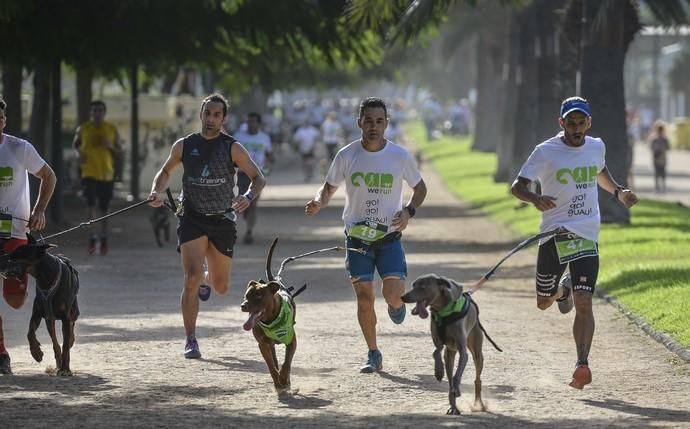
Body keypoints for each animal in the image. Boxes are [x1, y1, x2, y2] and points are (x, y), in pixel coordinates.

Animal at [0, 234, 79, 374]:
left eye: (18, 252)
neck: (46, 278)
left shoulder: (65, 316)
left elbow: (65, 344)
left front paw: (66, 369)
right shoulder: (37, 313)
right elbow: (30, 333)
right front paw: (36, 353)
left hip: (73, 311)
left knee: (71, 326)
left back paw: (69, 345)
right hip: (49, 319)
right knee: (55, 342)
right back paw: (58, 362)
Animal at [239, 237, 296, 394]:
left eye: (258, 296)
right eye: (246, 295)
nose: (243, 305)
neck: (271, 320)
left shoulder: (291, 341)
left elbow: (287, 362)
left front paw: (284, 378)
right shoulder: (263, 344)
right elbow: (271, 366)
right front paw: (278, 382)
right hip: (270, 345)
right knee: (274, 360)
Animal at [398, 272, 500, 412]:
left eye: (423, 287)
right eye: (413, 285)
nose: (403, 297)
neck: (443, 313)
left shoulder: (463, 350)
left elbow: (458, 373)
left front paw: (456, 388)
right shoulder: (440, 342)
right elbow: (436, 352)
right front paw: (438, 372)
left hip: (477, 352)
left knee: (476, 379)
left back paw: (477, 403)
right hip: (450, 354)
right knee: (450, 377)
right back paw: (453, 406)